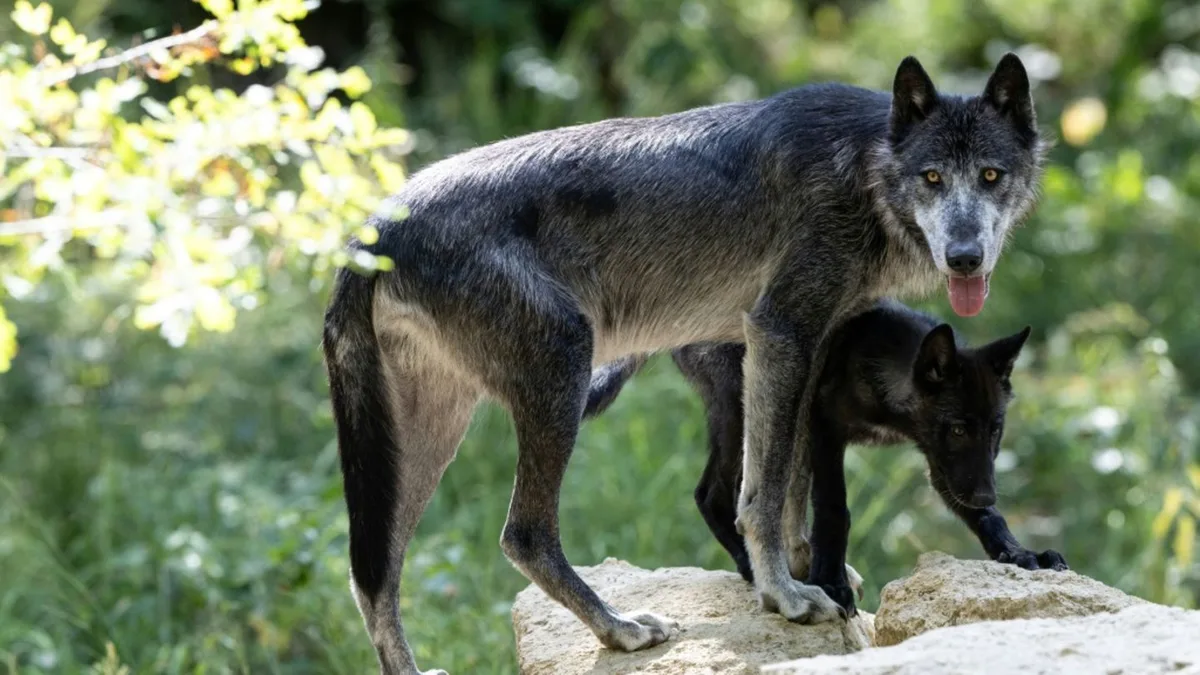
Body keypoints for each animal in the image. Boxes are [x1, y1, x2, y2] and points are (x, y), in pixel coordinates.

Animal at [583, 300, 1069, 615]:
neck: (882, 362)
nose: (987, 493)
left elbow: (985, 517)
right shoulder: (824, 429)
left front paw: (1018, 554)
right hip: (745, 409)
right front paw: (831, 581)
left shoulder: (941, 463)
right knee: (712, 494)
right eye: (958, 428)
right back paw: (754, 567)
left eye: (996, 430)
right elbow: (835, 509)